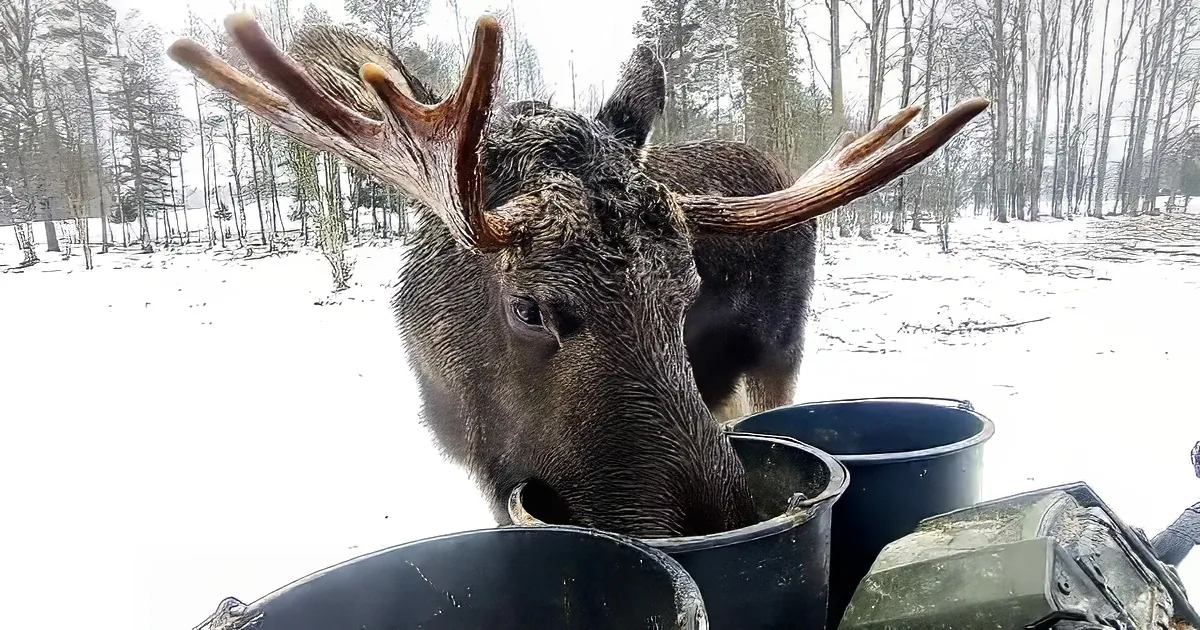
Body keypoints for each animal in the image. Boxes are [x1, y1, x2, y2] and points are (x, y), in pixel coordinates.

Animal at [168, 13, 988, 538]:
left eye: (687, 290)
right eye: (529, 308)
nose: (717, 521)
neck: (468, 410)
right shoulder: (482, 466)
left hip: (781, 349)